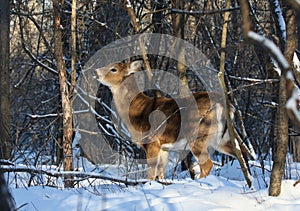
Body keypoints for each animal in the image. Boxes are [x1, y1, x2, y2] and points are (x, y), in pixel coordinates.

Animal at [95, 60, 247, 181]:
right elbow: (160, 173)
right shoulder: (164, 147)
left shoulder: (152, 141)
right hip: (222, 139)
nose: (96, 71)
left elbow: (151, 173)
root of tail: (227, 106)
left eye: (113, 69)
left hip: (198, 134)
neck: (138, 110)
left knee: (207, 164)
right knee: (242, 154)